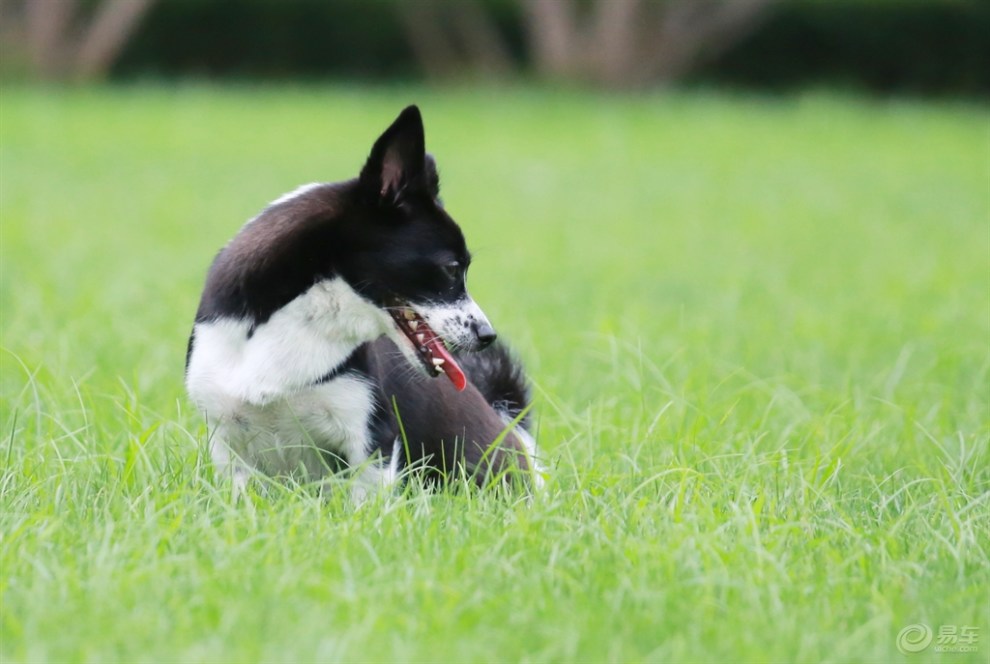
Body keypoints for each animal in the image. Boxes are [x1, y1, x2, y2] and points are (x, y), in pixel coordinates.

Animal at [186, 105, 544, 498]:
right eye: (452, 268)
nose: (487, 335)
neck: (298, 318)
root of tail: (513, 436)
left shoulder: (370, 443)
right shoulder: (228, 443)